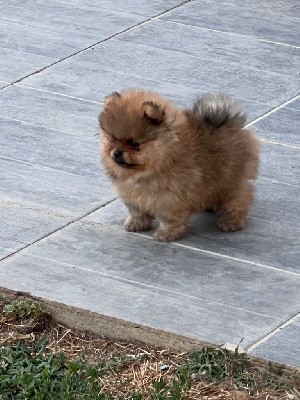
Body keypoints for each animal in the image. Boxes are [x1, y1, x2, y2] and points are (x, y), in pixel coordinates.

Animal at [99, 90, 260, 241]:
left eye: (134, 144)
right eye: (112, 138)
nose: (117, 152)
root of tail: (228, 122)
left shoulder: (170, 199)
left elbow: (169, 218)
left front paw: (166, 234)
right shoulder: (132, 196)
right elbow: (137, 212)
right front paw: (137, 224)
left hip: (232, 181)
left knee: (240, 199)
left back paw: (231, 222)